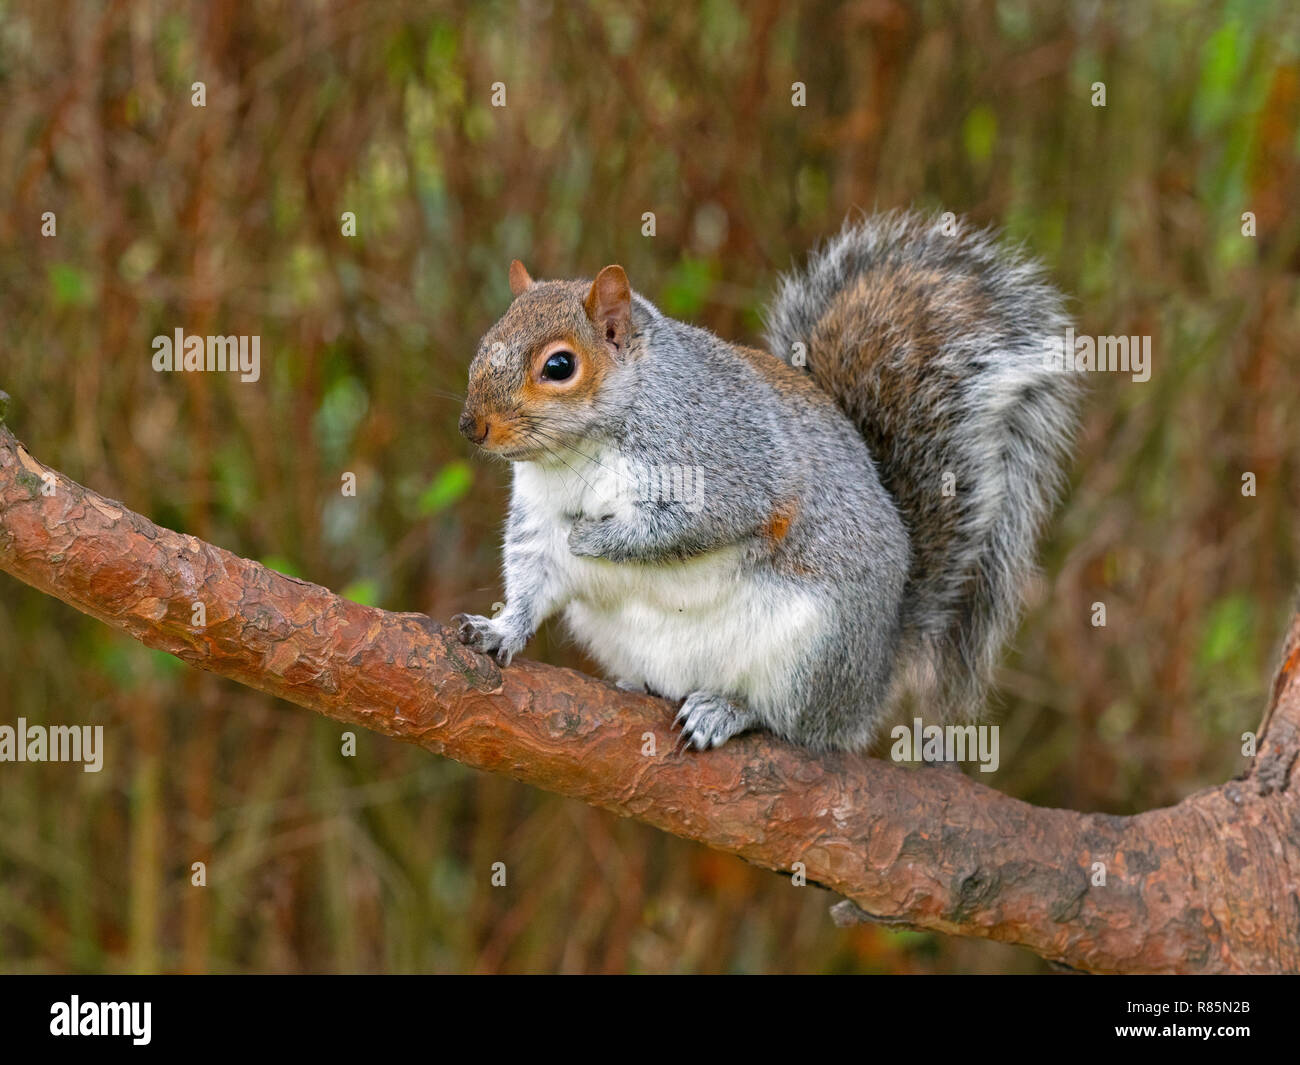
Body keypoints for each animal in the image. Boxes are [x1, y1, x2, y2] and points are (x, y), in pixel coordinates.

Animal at [452, 209, 1080, 752]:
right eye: (483, 345)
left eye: (559, 366)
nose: (471, 427)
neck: (580, 452)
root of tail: (874, 675)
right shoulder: (536, 516)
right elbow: (533, 578)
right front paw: (499, 631)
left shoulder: (727, 465)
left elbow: (684, 529)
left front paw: (594, 537)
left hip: (812, 653)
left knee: (792, 722)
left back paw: (728, 711)